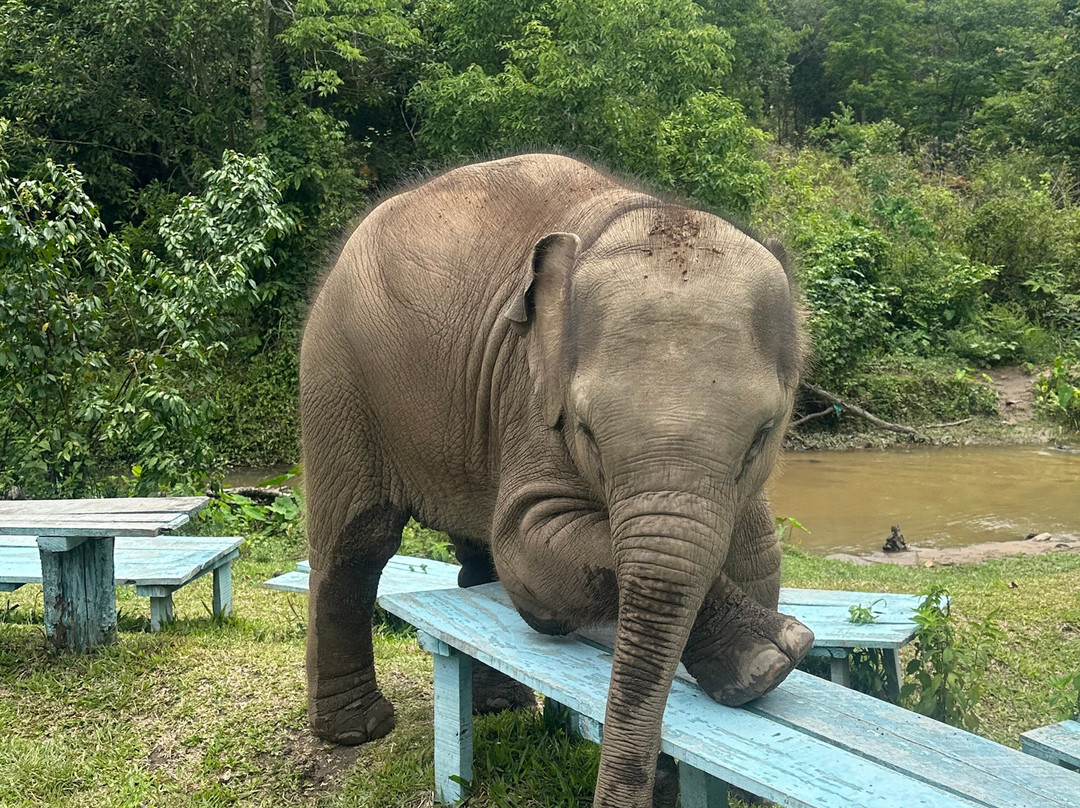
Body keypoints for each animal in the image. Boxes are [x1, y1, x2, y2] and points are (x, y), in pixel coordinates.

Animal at [299, 153, 814, 808]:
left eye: (763, 434)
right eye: (585, 428)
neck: (640, 210)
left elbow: (758, 557)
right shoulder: (530, 390)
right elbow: (530, 551)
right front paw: (771, 660)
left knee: (478, 552)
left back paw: (499, 704)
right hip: (336, 376)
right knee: (357, 544)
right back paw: (357, 730)